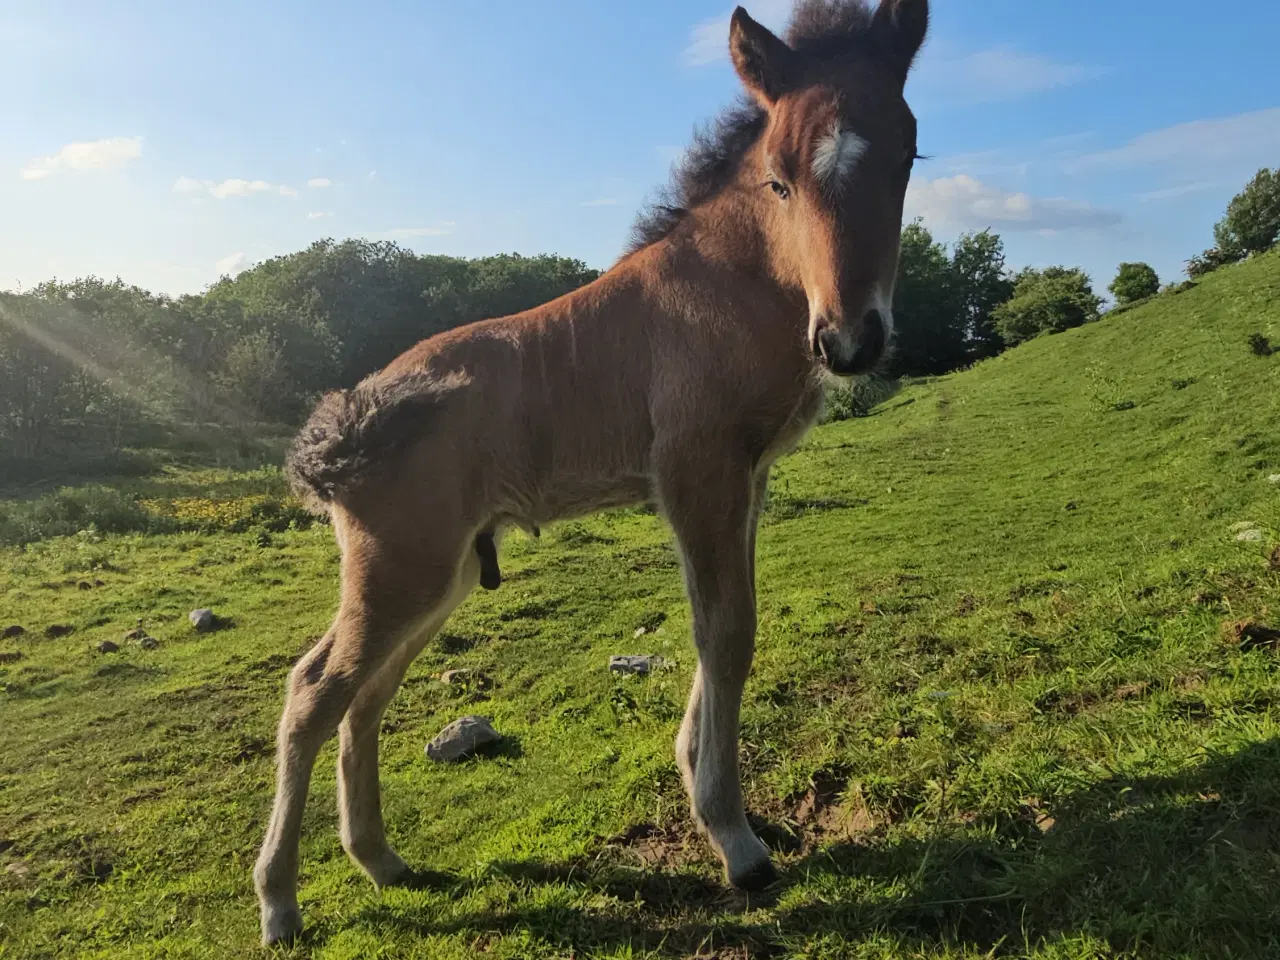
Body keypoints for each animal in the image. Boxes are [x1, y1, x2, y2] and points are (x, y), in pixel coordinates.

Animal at [252, 0, 931, 947]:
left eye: (907, 155)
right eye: (780, 180)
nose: (848, 340)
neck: (735, 287)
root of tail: (346, 418)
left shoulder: (745, 480)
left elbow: (728, 626)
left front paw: (700, 785)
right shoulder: (695, 472)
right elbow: (726, 633)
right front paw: (737, 842)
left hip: (440, 576)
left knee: (365, 695)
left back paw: (382, 863)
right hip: (401, 570)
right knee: (314, 691)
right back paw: (280, 903)